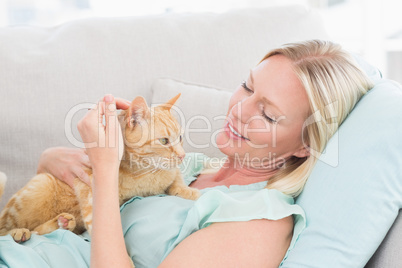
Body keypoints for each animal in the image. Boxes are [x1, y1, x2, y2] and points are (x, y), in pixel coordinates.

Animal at [0, 94, 200, 245]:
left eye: (180, 137)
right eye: (164, 141)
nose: (182, 155)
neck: (143, 172)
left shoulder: (172, 172)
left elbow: (176, 179)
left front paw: (188, 191)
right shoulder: (90, 191)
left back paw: (62, 222)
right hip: (40, 185)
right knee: (6, 228)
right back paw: (20, 232)